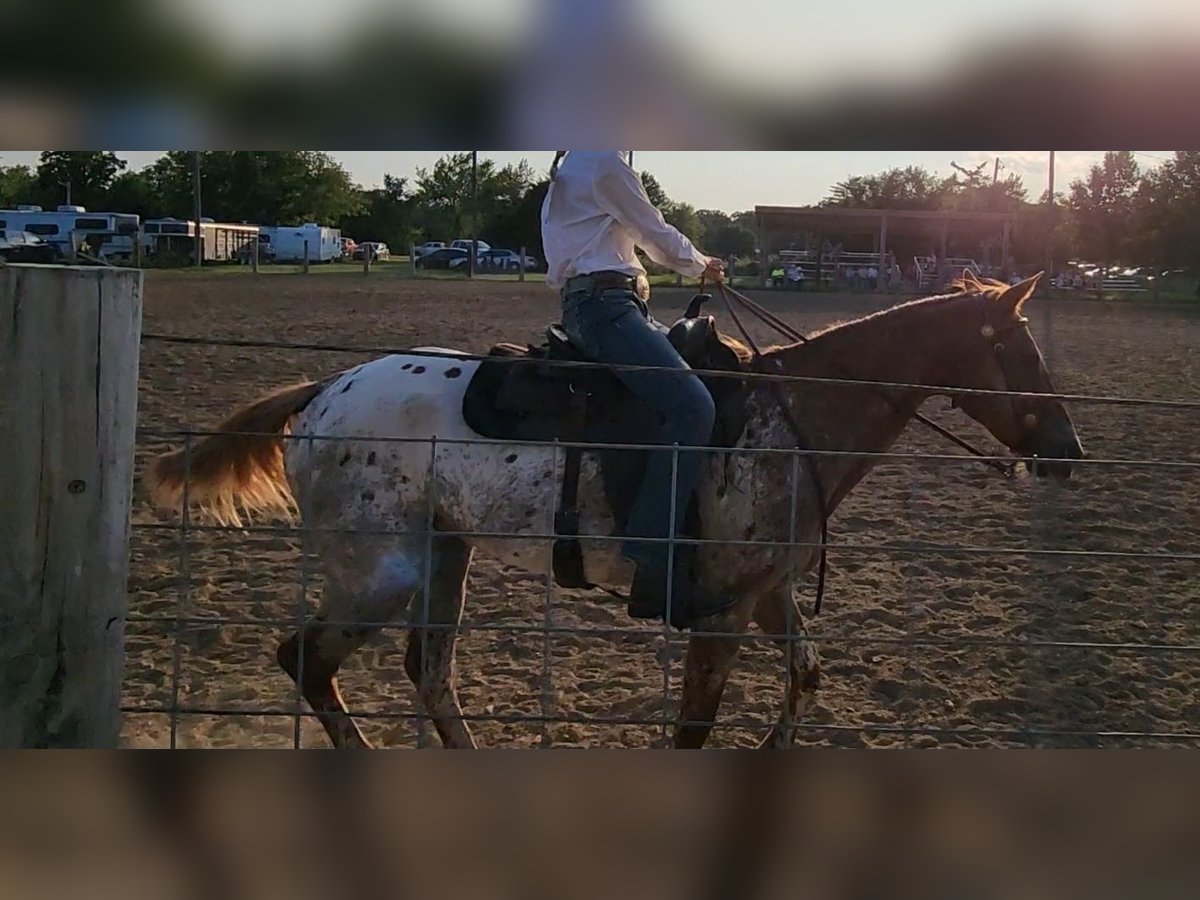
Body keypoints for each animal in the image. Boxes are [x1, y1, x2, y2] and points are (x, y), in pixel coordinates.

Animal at [152, 277, 1089, 753]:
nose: (1070, 451)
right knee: (308, 661)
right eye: (1018, 350)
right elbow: (694, 728)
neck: (792, 417)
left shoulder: (768, 593)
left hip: (446, 554)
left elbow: (806, 676)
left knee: (429, 670)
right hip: (380, 572)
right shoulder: (720, 611)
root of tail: (324, 390)